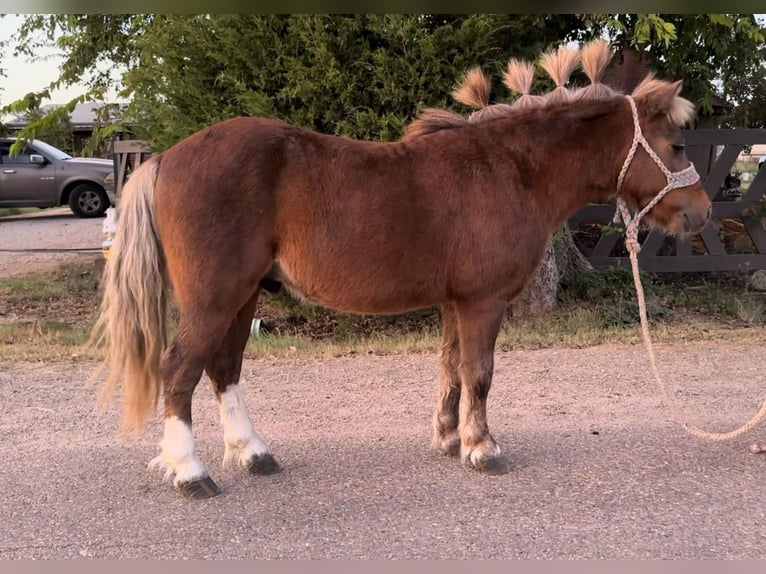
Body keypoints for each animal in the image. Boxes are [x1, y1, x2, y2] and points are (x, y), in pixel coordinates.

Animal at [94, 40, 712, 500]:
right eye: (679, 144)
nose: (702, 212)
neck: (511, 169)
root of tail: (165, 157)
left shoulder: (454, 302)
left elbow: (451, 369)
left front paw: (449, 438)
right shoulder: (482, 302)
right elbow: (479, 373)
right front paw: (482, 448)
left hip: (243, 297)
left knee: (224, 369)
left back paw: (253, 454)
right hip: (214, 298)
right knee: (179, 370)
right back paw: (190, 472)